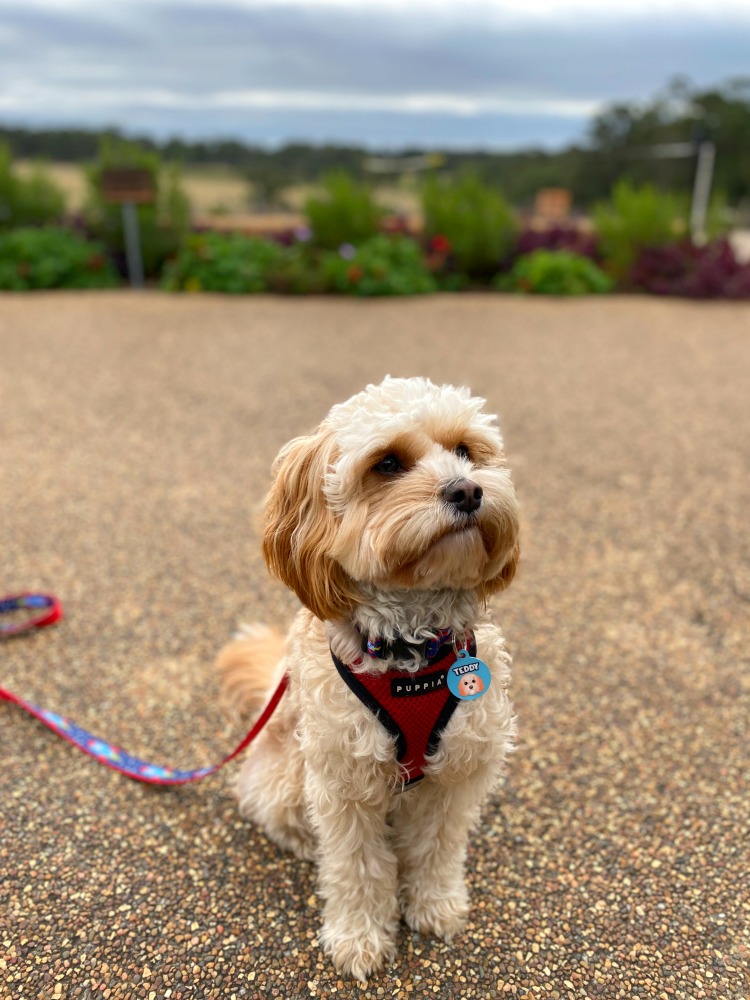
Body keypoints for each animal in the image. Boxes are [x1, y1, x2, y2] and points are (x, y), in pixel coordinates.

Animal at [219, 376, 524, 976]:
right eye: (387, 463)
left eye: (465, 451)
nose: (468, 491)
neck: (413, 653)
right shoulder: (344, 783)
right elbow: (357, 868)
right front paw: (359, 938)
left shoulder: (456, 775)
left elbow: (436, 848)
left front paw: (435, 905)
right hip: (288, 774)